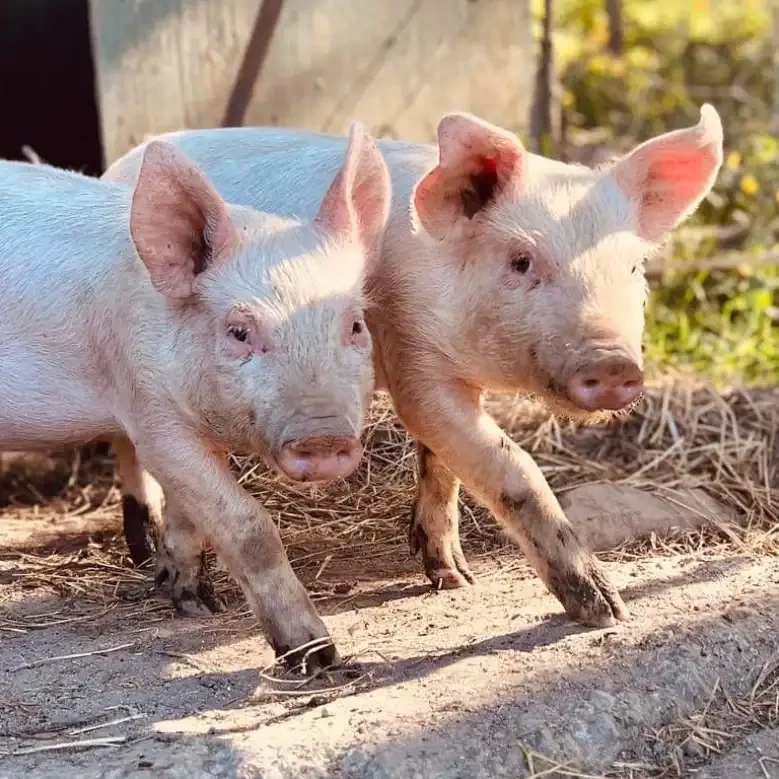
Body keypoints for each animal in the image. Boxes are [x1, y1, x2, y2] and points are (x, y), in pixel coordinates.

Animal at [0, 121, 391, 672]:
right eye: (239, 332)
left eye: (354, 325)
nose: (323, 438)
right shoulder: (150, 414)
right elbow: (248, 526)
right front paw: (317, 658)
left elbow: (189, 515)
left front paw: (193, 601)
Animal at [104, 105, 724, 629]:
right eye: (522, 261)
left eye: (635, 266)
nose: (614, 363)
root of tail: (124, 163)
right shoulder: (411, 356)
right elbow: (510, 468)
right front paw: (607, 611)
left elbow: (442, 465)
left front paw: (453, 577)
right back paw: (172, 582)